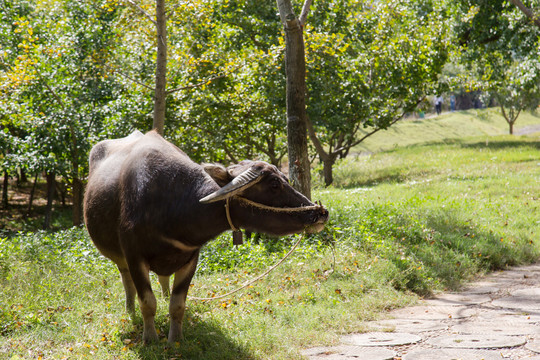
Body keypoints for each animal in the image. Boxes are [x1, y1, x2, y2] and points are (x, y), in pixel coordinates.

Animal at [83, 131, 330, 344]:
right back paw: (130, 311)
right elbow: (147, 302)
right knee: (127, 281)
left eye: (285, 178)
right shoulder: (135, 257)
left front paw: (176, 339)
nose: (321, 213)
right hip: (121, 259)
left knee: (163, 281)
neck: (171, 205)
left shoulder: (191, 258)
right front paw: (150, 339)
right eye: (274, 184)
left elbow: (177, 304)